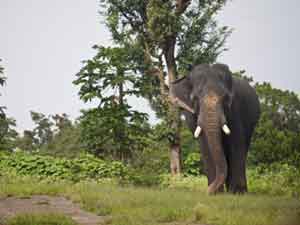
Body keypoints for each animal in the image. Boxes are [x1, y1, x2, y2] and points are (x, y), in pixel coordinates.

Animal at [171, 63, 260, 193]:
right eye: (195, 99)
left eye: (226, 98)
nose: (207, 191)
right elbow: (205, 145)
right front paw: (217, 193)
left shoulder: (235, 108)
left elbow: (236, 142)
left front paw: (237, 193)